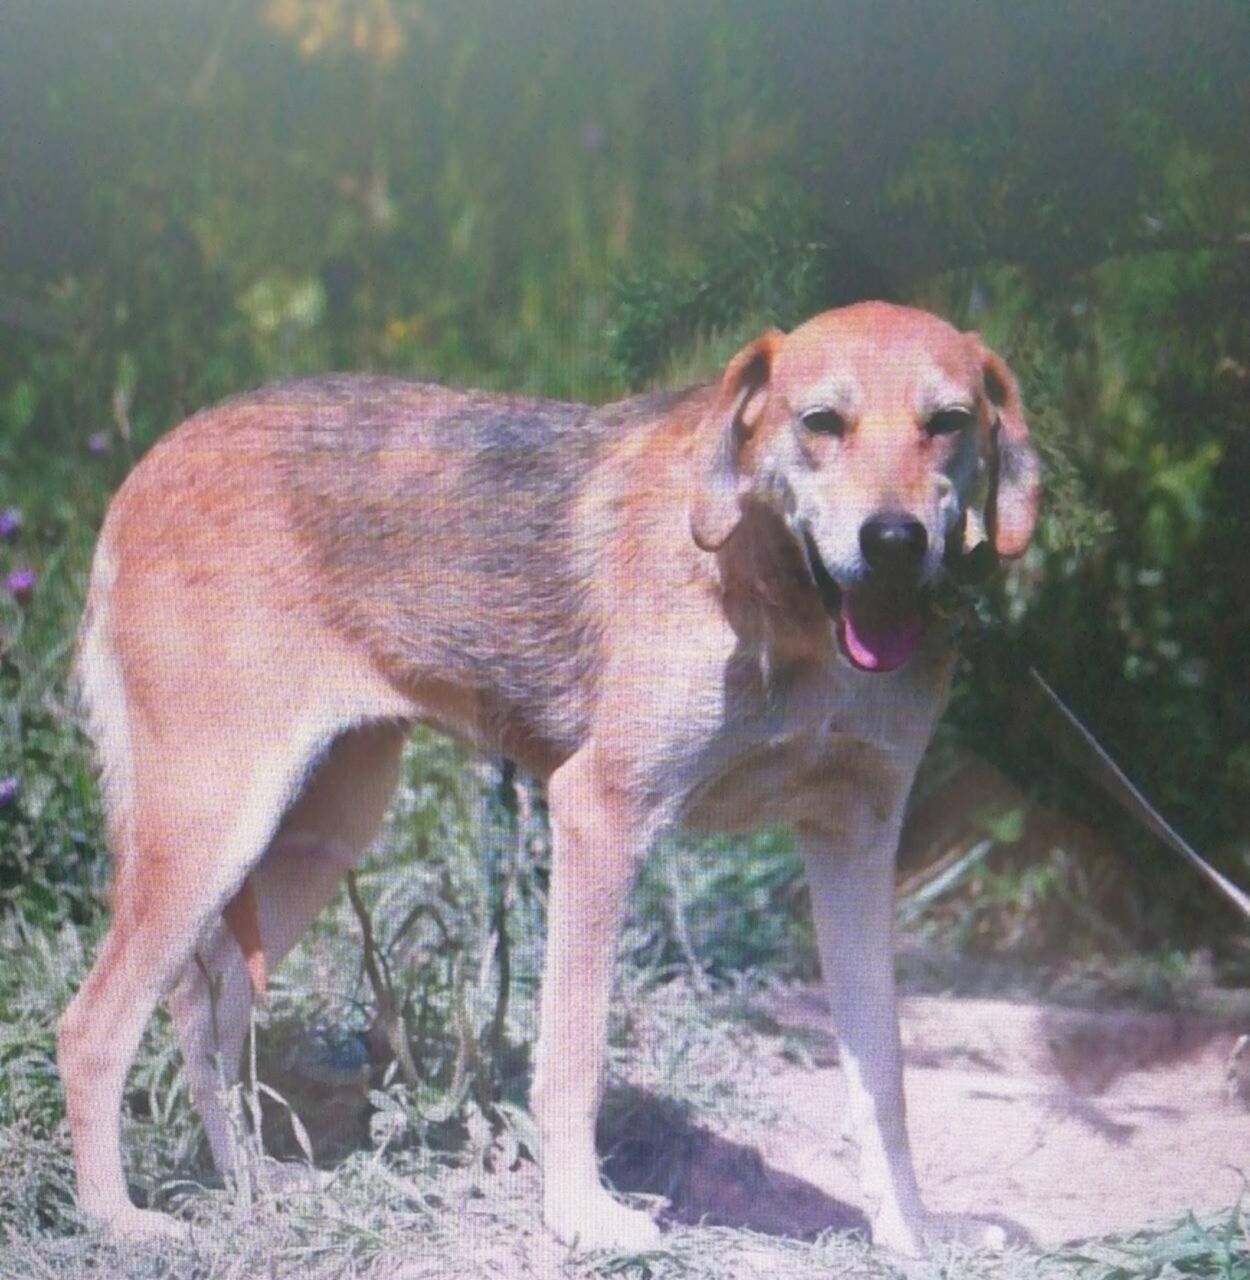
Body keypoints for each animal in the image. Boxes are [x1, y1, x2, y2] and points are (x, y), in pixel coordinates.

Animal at [58, 301, 1039, 1255]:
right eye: (822, 423)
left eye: (949, 423)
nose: (894, 540)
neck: (781, 600)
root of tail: (153, 462)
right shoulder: (600, 818)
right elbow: (574, 1060)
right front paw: (581, 1219)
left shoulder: (856, 849)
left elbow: (885, 1081)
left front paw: (912, 1233)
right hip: (212, 831)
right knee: (92, 1027)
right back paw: (116, 1220)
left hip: (316, 835)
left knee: (203, 1004)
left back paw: (250, 1186)